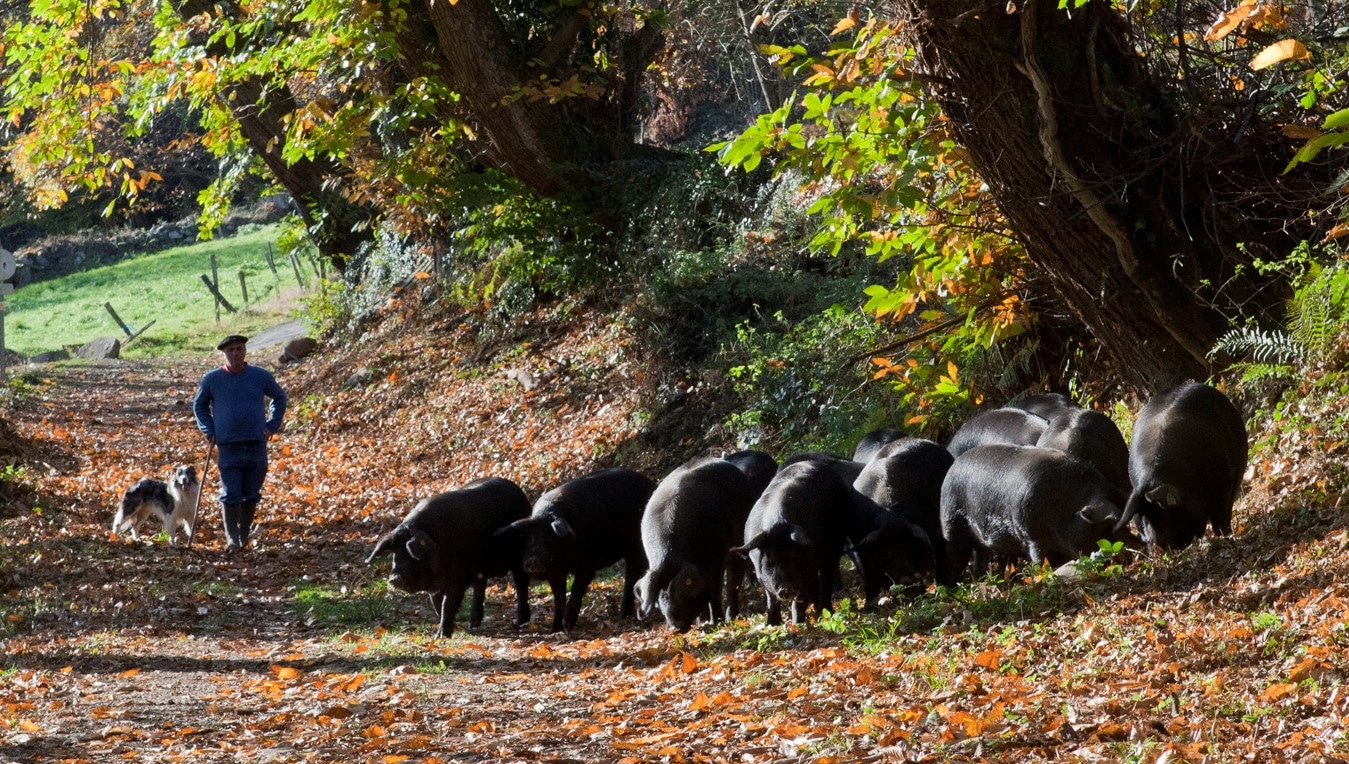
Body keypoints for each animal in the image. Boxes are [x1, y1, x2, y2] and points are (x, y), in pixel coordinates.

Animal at [369, 480, 536, 639]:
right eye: (395, 554)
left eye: (411, 553)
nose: (394, 578)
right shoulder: (435, 587)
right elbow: (437, 605)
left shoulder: (458, 578)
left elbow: (447, 605)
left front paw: (442, 636)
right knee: (480, 586)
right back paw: (474, 624)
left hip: (519, 558)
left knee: (521, 586)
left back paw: (522, 622)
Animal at [496, 467, 652, 634]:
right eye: (529, 539)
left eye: (551, 539)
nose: (533, 561)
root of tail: (650, 483)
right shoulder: (555, 572)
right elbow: (559, 597)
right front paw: (555, 629)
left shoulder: (589, 563)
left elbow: (577, 589)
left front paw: (567, 625)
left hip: (635, 546)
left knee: (632, 574)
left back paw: (625, 615)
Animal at [1111, 383, 1246, 550]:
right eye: (1144, 518)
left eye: (1168, 514)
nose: (1160, 545)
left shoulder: (1223, 481)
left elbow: (1220, 516)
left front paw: (1227, 537)